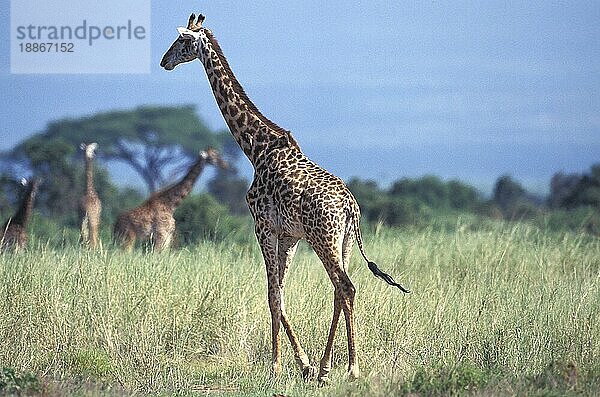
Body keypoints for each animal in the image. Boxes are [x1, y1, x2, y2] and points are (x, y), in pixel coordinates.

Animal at [162, 13, 410, 382]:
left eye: (181, 42)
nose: (164, 62)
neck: (256, 148)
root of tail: (350, 207)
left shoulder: (263, 226)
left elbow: (271, 294)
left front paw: (278, 365)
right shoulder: (290, 235)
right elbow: (280, 291)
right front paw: (304, 363)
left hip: (323, 239)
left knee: (346, 287)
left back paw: (350, 368)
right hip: (344, 243)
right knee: (339, 291)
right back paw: (325, 367)